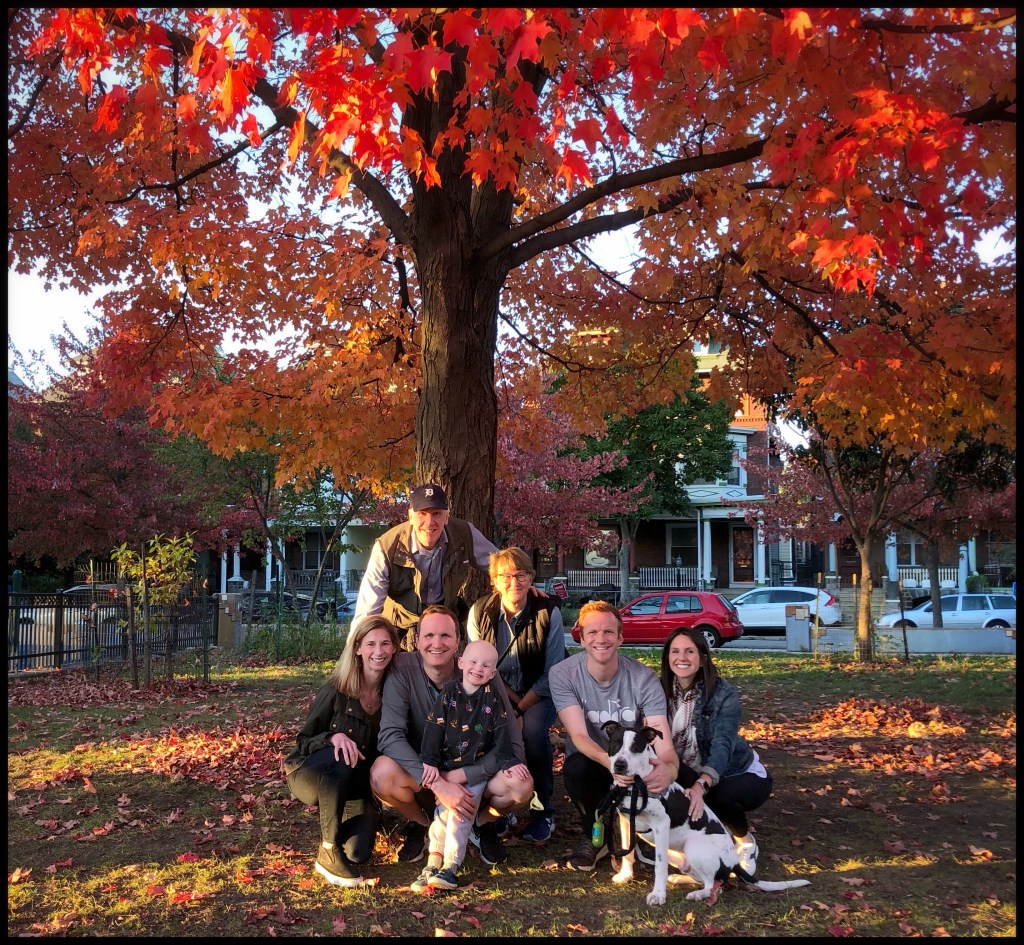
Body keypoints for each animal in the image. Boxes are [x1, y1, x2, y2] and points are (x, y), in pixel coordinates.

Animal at [601, 721, 810, 906]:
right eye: (615, 744)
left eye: (636, 746)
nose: (620, 765)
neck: (636, 785)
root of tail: (734, 861)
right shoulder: (626, 821)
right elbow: (627, 852)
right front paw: (625, 875)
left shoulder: (661, 825)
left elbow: (659, 866)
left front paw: (658, 895)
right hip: (680, 856)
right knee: (705, 879)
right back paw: (678, 879)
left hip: (693, 845)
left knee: (714, 885)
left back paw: (698, 894)